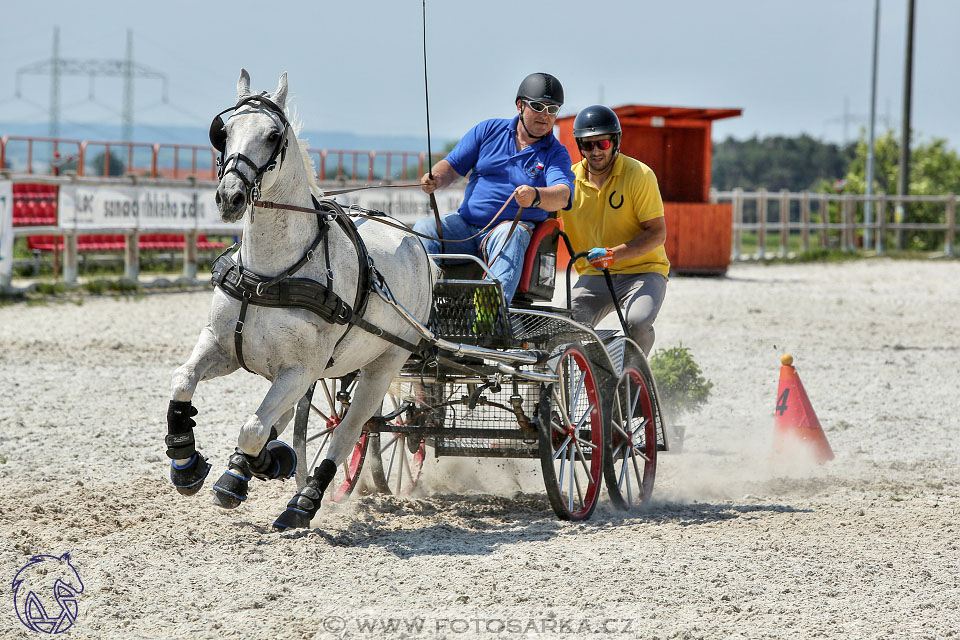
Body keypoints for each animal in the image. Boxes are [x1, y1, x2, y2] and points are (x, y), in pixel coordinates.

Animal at [166, 69, 436, 528]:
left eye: (274, 135)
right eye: (224, 131)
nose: (229, 197)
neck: (268, 274)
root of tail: (417, 244)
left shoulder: (298, 369)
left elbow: (254, 429)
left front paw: (263, 464)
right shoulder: (222, 346)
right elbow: (184, 381)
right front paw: (186, 460)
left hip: (385, 362)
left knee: (349, 429)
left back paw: (304, 501)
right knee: (298, 417)